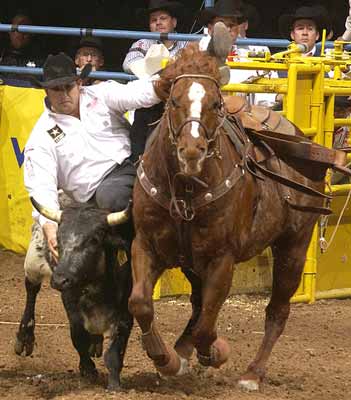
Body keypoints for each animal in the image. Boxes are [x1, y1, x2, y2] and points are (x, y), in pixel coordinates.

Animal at [128, 32, 348, 390]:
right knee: (198, 304)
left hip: (293, 248)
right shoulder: (146, 244)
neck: (186, 188)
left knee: (276, 312)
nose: (192, 151)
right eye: (174, 101)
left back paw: (252, 373)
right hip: (194, 261)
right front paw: (166, 359)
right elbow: (141, 304)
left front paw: (213, 353)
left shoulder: (222, 258)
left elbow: (207, 324)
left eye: (215, 104)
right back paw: (182, 352)